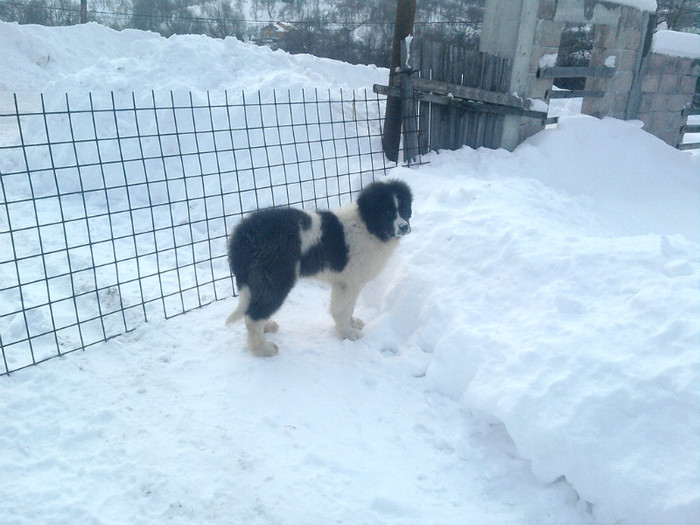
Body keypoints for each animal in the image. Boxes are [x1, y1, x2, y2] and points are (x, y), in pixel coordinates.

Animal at [224, 179, 412, 356]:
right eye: (387, 212)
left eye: (404, 209)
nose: (404, 227)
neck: (368, 226)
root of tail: (242, 233)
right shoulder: (349, 283)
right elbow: (342, 310)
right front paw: (348, 333)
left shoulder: (346, 282)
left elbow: (348, 307)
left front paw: (352, 324)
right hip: (275, 278)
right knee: (253, 316)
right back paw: (262, 348)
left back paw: (266, 328)